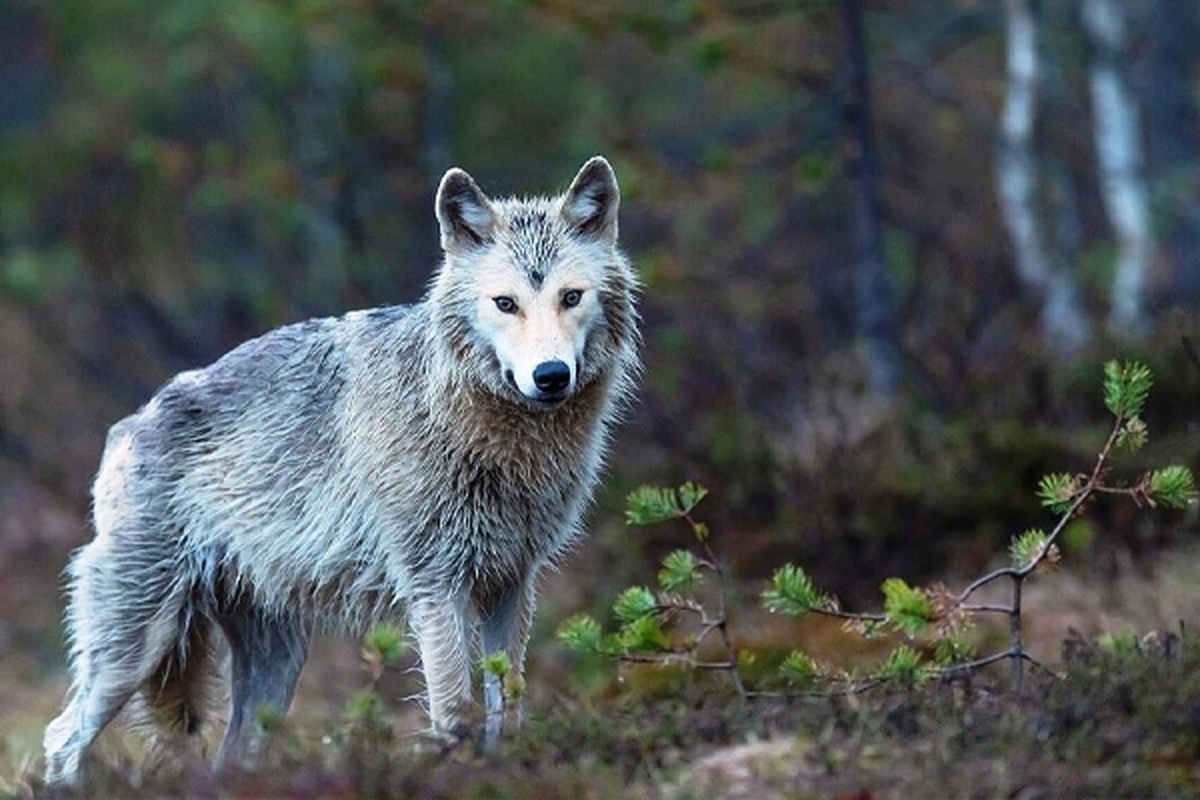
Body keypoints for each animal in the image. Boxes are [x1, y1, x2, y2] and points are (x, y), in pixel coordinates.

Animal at [39, 158, 638, 786]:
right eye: (505, 303)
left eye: (571, 297)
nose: (551, 375)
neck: (484, 432)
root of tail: (128, 425)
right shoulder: (435, 585)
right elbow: (454, 709)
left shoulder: (512, 584)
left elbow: (509, 702)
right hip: (136, 646)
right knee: (61, 737)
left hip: (276, 664)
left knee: (231, 751)